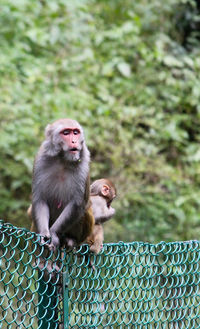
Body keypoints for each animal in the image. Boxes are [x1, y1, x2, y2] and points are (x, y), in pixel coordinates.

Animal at [30, 118, 94, 249]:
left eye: (75, 132)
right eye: (66, 133)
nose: (74, 141)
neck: (63, 160)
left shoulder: (84, 164)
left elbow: (77, 203)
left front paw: (53, 233)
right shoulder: (40, 160)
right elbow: (40, 200)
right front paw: (44, 233)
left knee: (85, 210)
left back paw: (70, 239)